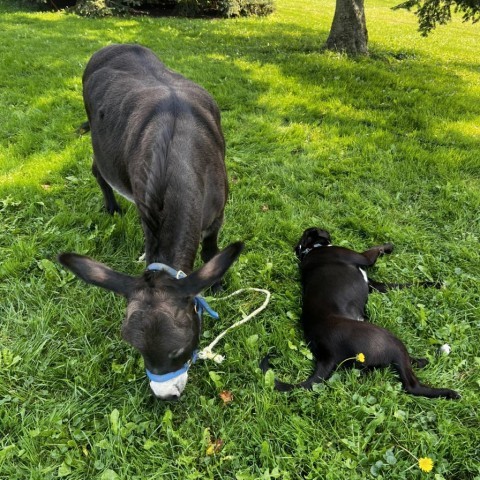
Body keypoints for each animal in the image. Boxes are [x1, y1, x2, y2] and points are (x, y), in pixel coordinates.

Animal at [262, 227, 462, 400]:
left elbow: (405, 284)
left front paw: (433, 284)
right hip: (388, 340)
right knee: (411, 385)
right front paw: (389, 246)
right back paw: (448, 391)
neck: (312, 250)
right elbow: (376, 248)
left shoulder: (375, 285)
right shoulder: (363, 258)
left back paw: (426, 360)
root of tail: (328, 355)